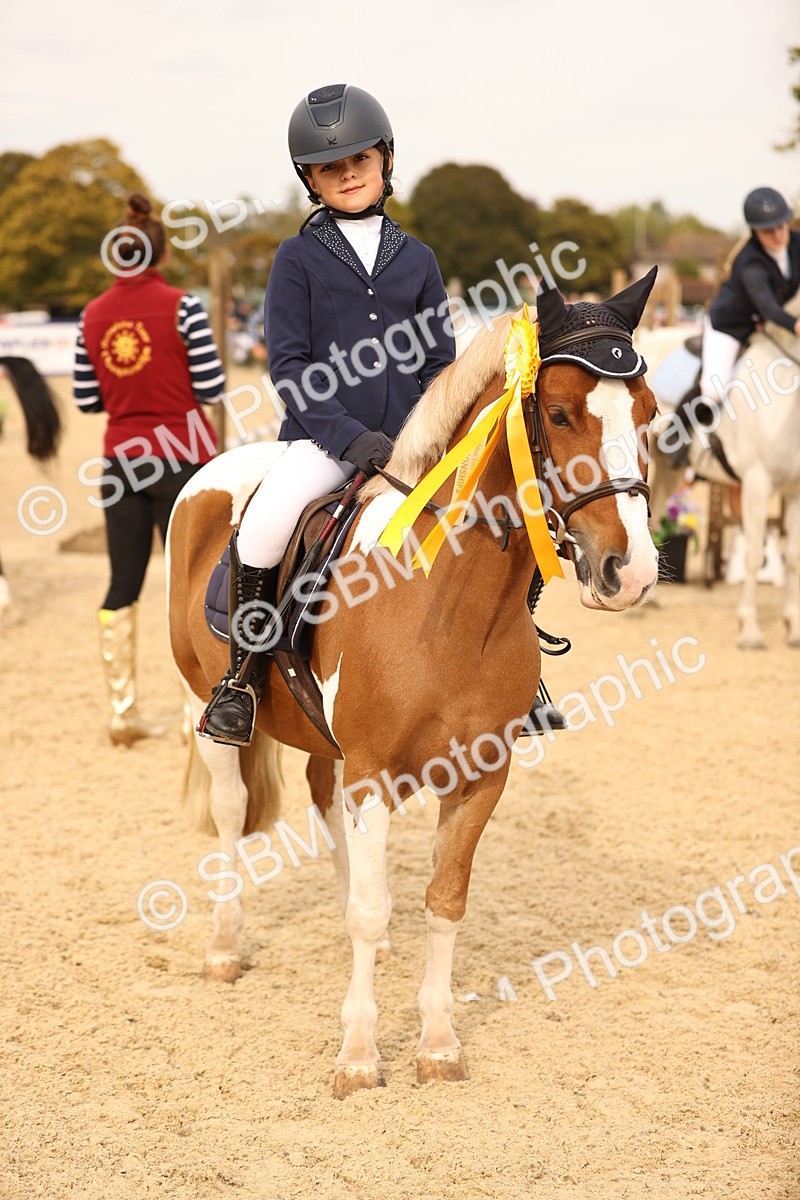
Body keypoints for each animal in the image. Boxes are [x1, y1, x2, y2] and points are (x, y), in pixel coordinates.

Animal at [166, 275, 659, 1097]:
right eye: (560, 414)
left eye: (649, 414)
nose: (633, 573)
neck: (449, 600)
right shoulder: (373, 774)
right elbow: (372, 907)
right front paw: (359, 1057)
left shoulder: (480, 777)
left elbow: (443, 900)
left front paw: (436, 1044)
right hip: (203, 707)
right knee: (233, 811)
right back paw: (225, 947)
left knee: (320, 798)